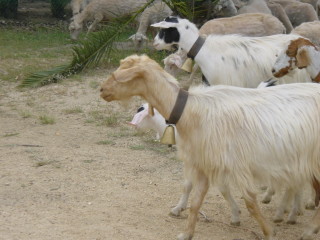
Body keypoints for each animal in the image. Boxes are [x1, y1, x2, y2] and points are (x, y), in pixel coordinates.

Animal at [100, 54, 320, 240]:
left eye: (123, 75)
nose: (102, 90)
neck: (191, 112)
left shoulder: (236, 164)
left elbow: (250, 203)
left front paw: (268, 232)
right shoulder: (204, 163)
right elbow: (196, 201)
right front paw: (186, 233)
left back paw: (306, 228)